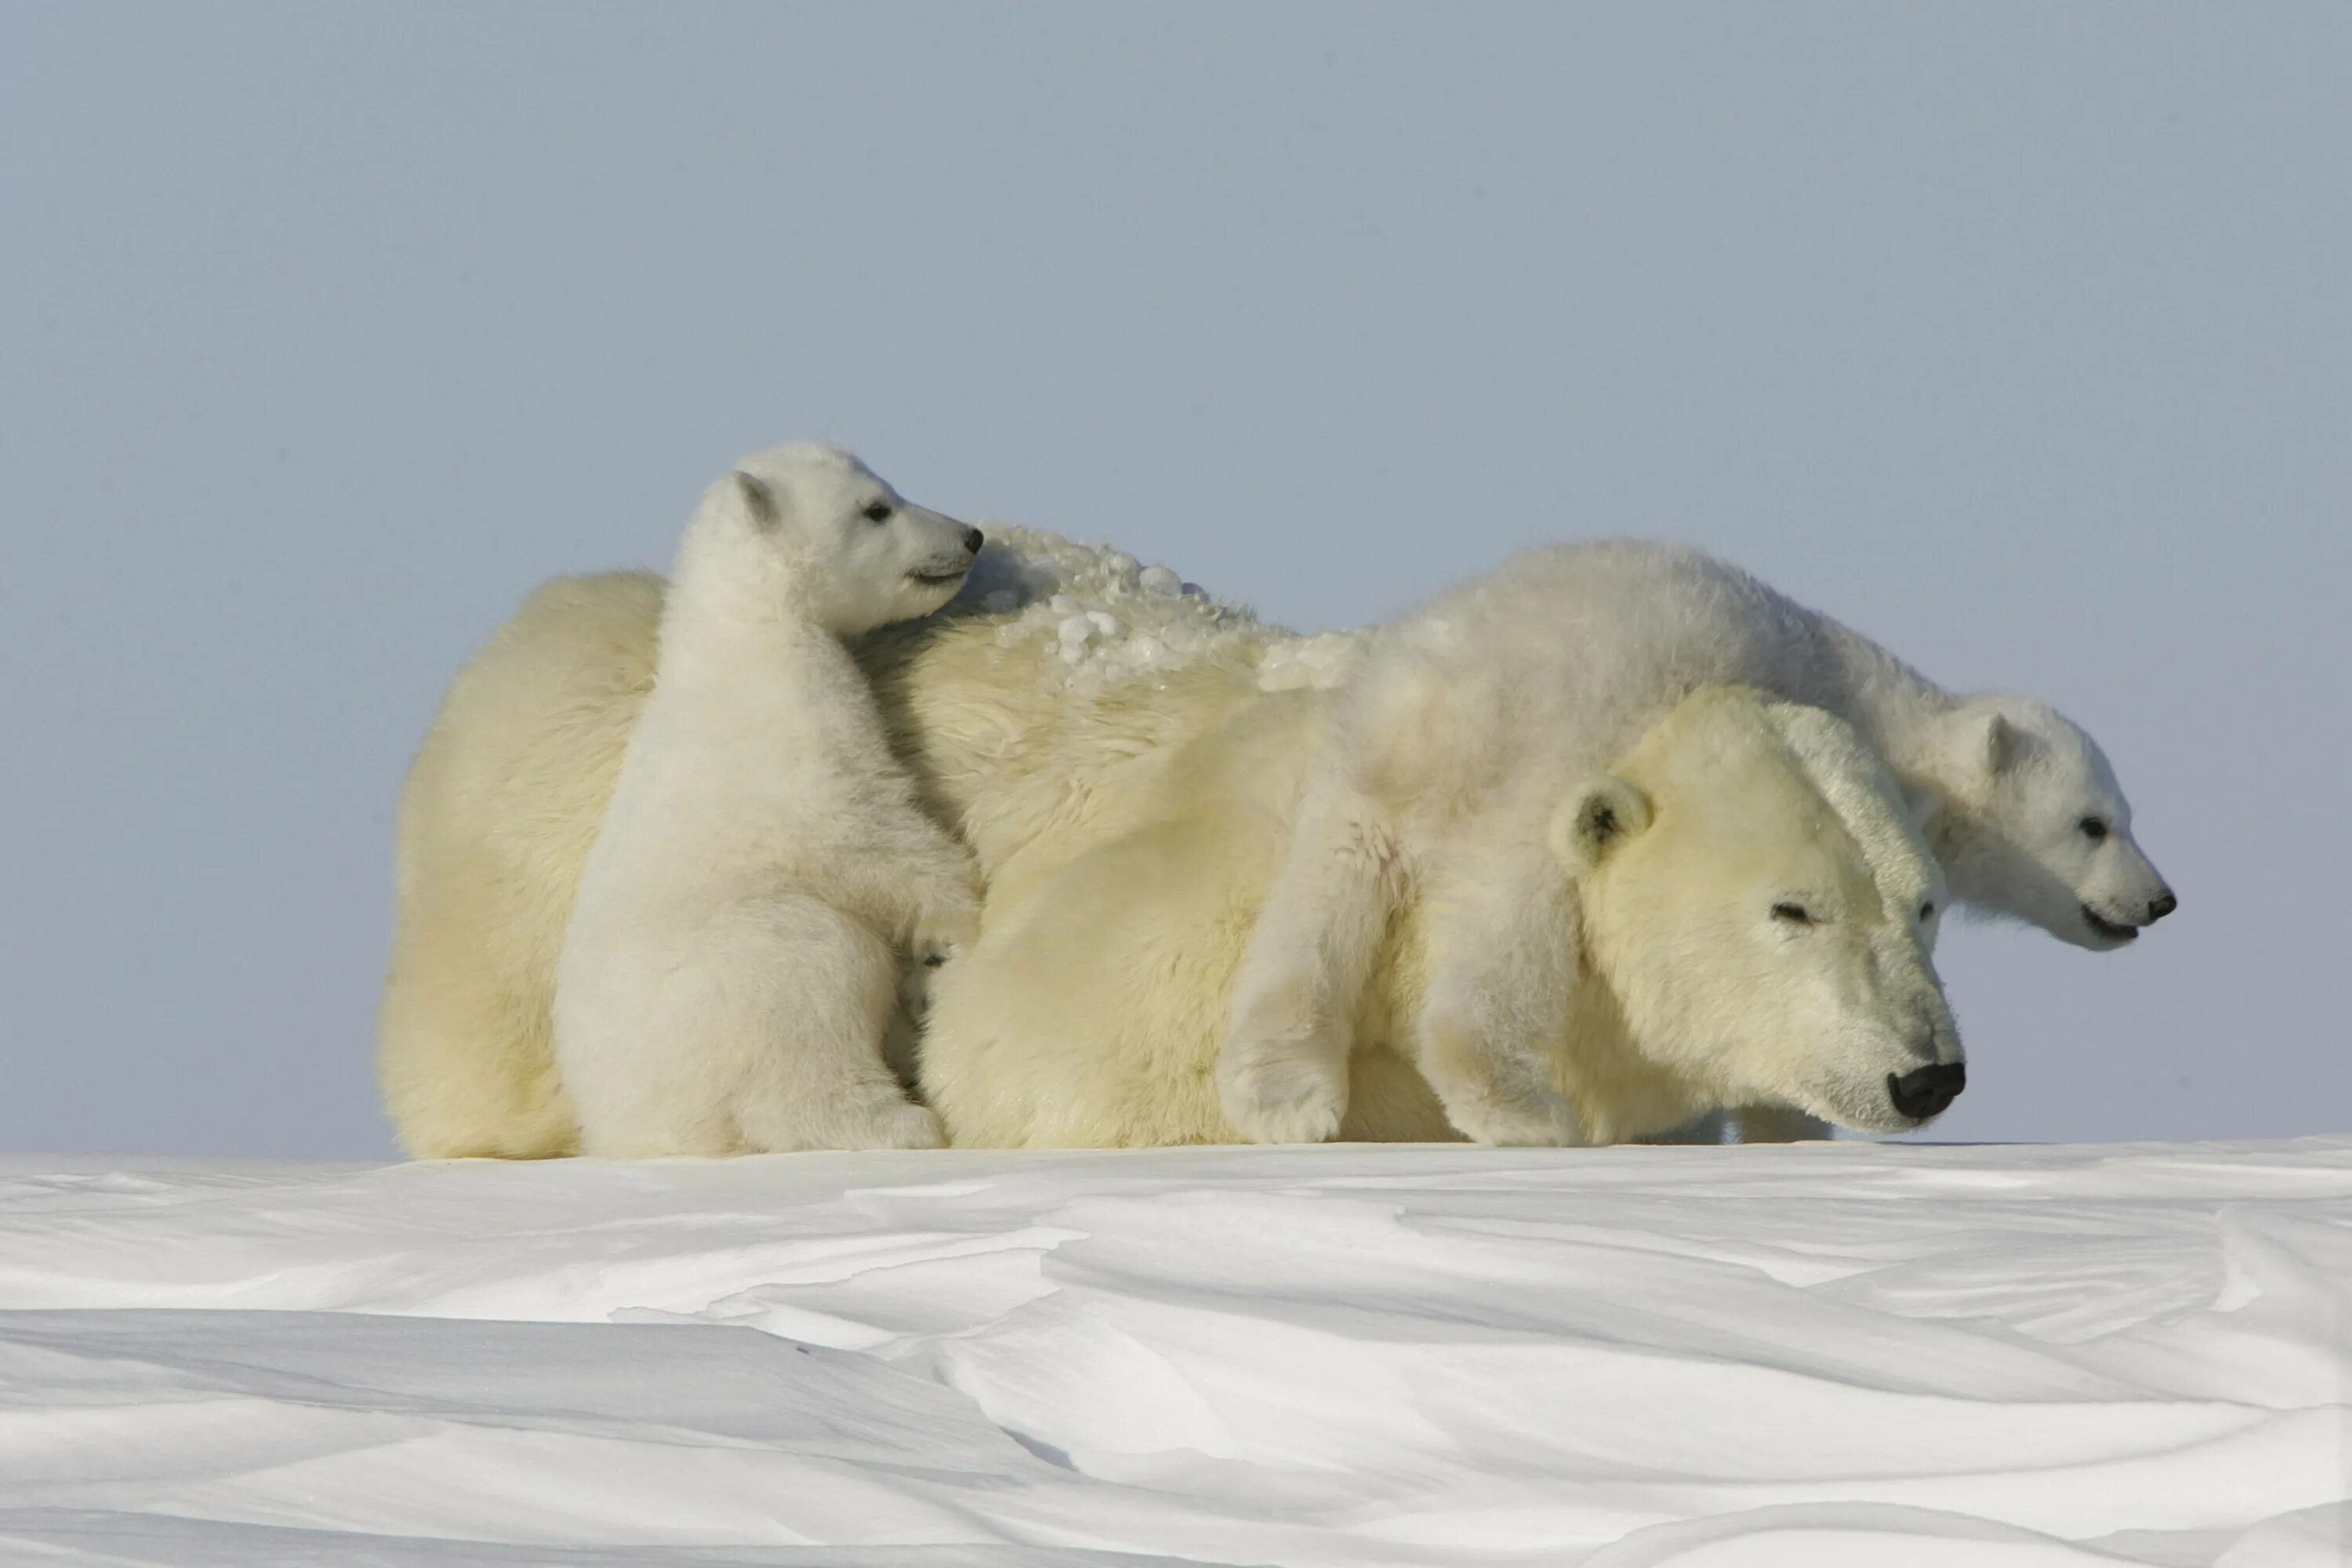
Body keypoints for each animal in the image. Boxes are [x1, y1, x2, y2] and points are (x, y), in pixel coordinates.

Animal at [550, 441, 983, 1152]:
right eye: (876, 508)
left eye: (887, 491)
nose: (970, 536)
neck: (749, 633)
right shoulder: (801, 729)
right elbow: (866, 831)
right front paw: (961, 917)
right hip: (745, 974)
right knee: (815, 995)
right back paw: (903, 1121)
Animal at [1223, 535, 2173, 1142]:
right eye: (2095, 822)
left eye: (2126, 813)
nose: (2160, 899)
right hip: (1572, 741)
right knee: (1512, 916)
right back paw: (1516, 1106)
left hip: (1379, 766)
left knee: (1323, 895)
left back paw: (1282, 1092)